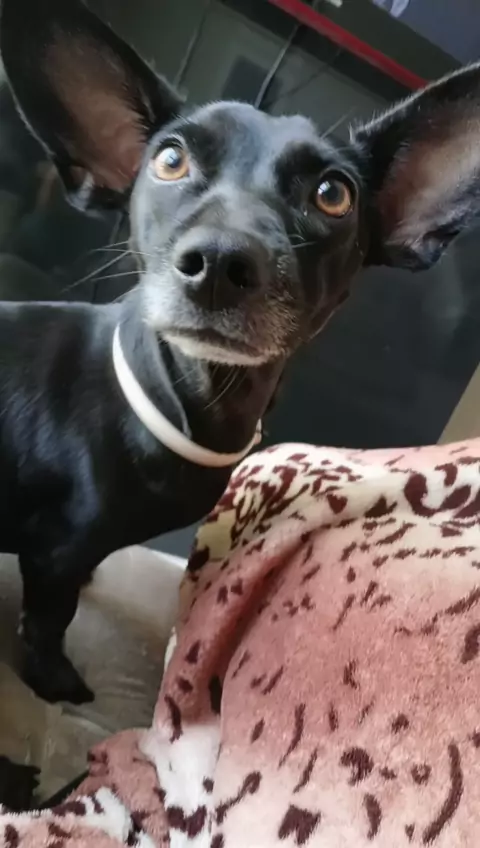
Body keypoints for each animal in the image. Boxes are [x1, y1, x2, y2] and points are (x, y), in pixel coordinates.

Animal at [0, 0, 479, 708]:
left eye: (333, 194)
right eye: (170, 160)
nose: (221, 263)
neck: (194, 401)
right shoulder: (58, 552)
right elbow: (49, 619)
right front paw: (54, 680)